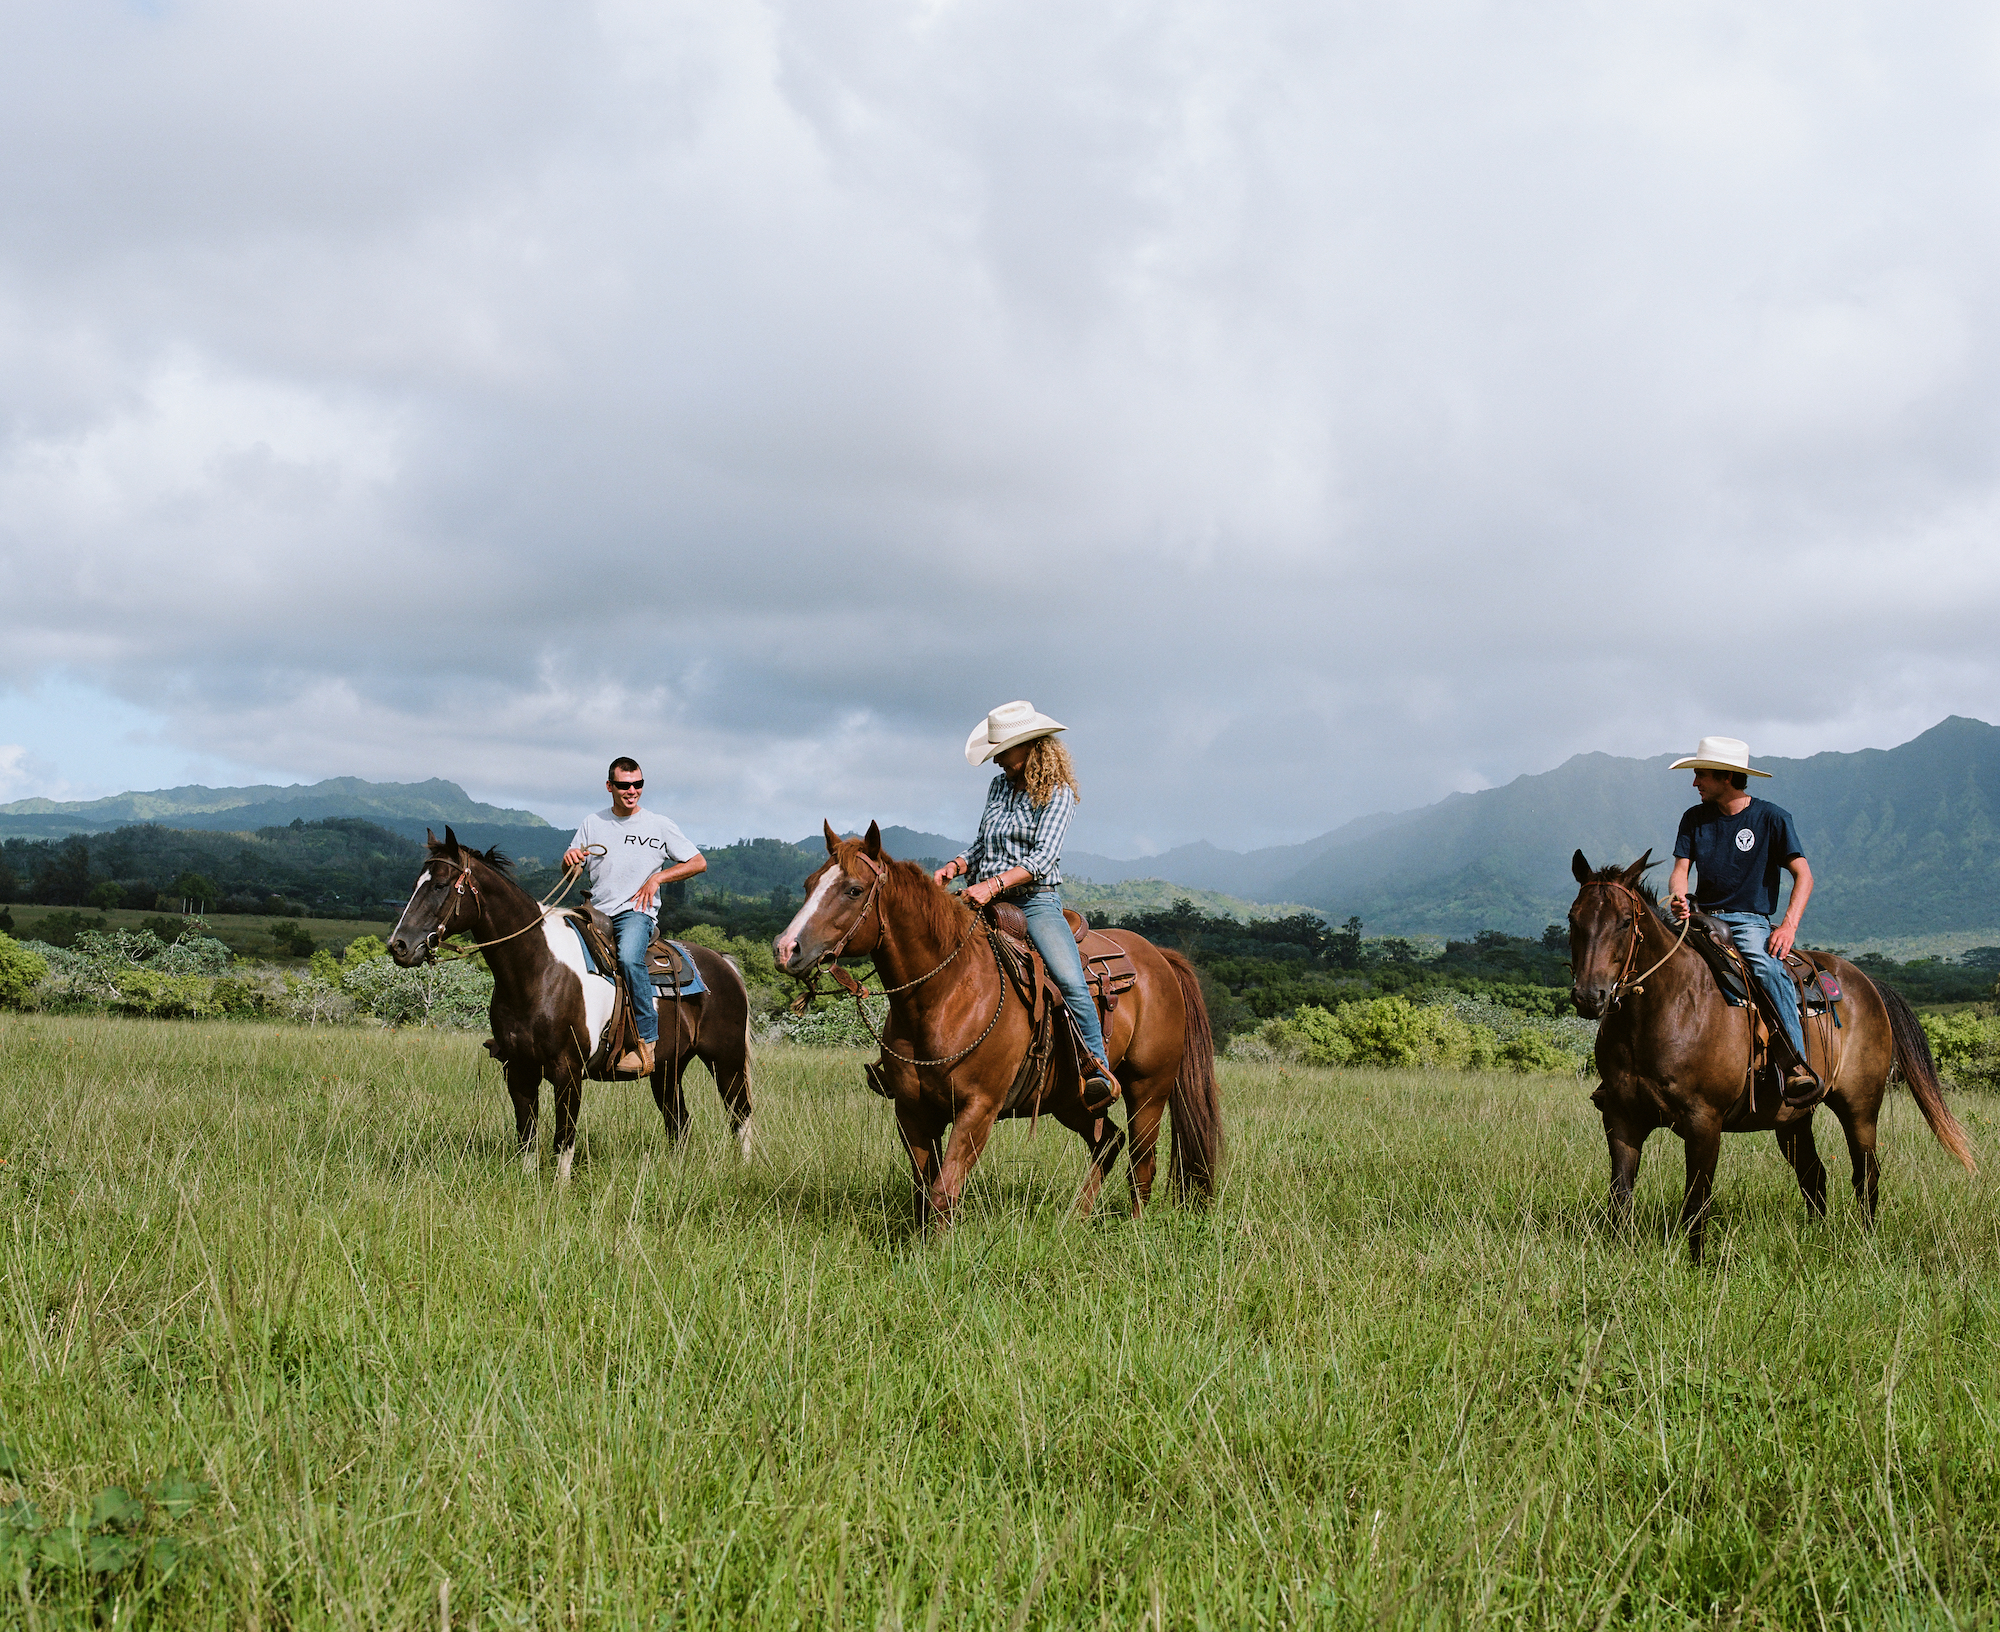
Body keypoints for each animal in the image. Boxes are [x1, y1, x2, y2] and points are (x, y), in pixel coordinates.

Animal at [386, 824, 752, 1176]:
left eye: (440, 886)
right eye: (417, 883)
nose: (399, 945)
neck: (537, 968)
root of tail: (724, 964)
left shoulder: (568, 1072)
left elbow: (563, 1140)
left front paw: (559, 1189)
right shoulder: (518, 1070)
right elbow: (527, 1137)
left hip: (726, 1059)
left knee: (740, 1115)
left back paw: (744, 1169)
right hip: (667, 1068)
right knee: (679, 1121)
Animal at [776, 824, 1216, 1232]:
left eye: (853, 889)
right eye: (809, 884)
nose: (786, 949)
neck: (946, 992)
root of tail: (1159, 956)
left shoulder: (978, 1109)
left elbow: (944, 1190)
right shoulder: (912, 1110)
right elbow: (924, 1190)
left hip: (1148, 1090)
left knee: (1141, 1162)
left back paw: (1133, 1228)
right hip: (1069, 1100)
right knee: (1108, 1143)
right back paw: (1074, 1220)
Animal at [1560, 848, 1968, 1272]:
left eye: (1625, 922)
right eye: (1574, 918)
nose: (1589, 996)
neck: (1665, 1008)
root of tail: (1869, 984)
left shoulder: (1703, 1121)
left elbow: (1696, 1199)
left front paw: (1698, 1265)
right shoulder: (1621, 1117)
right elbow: (1620, 1195)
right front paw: (1616, 1257)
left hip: (1860, 1105)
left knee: (1866, 1173)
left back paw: (1868, 1240)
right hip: (1793, 1118)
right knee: (1814, 1174)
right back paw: (1815, 1238)